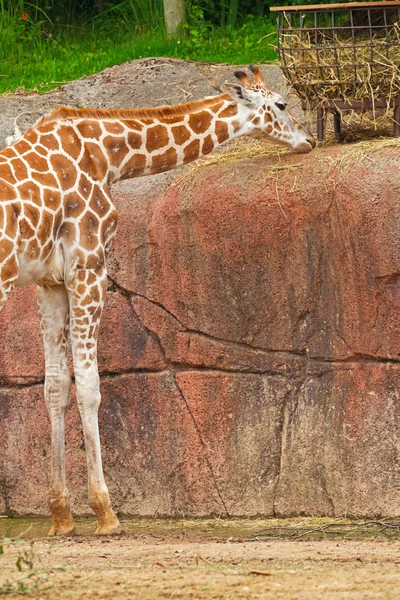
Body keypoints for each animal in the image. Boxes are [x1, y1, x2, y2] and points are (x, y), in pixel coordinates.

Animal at [0, 64, 316, 536]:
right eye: (280, 103)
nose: (309, 139)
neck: (110, 157)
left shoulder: (50, 281)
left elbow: (55, 386)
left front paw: (61, 517)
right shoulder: (89, 265)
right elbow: (90, 385)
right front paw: (106, 513)